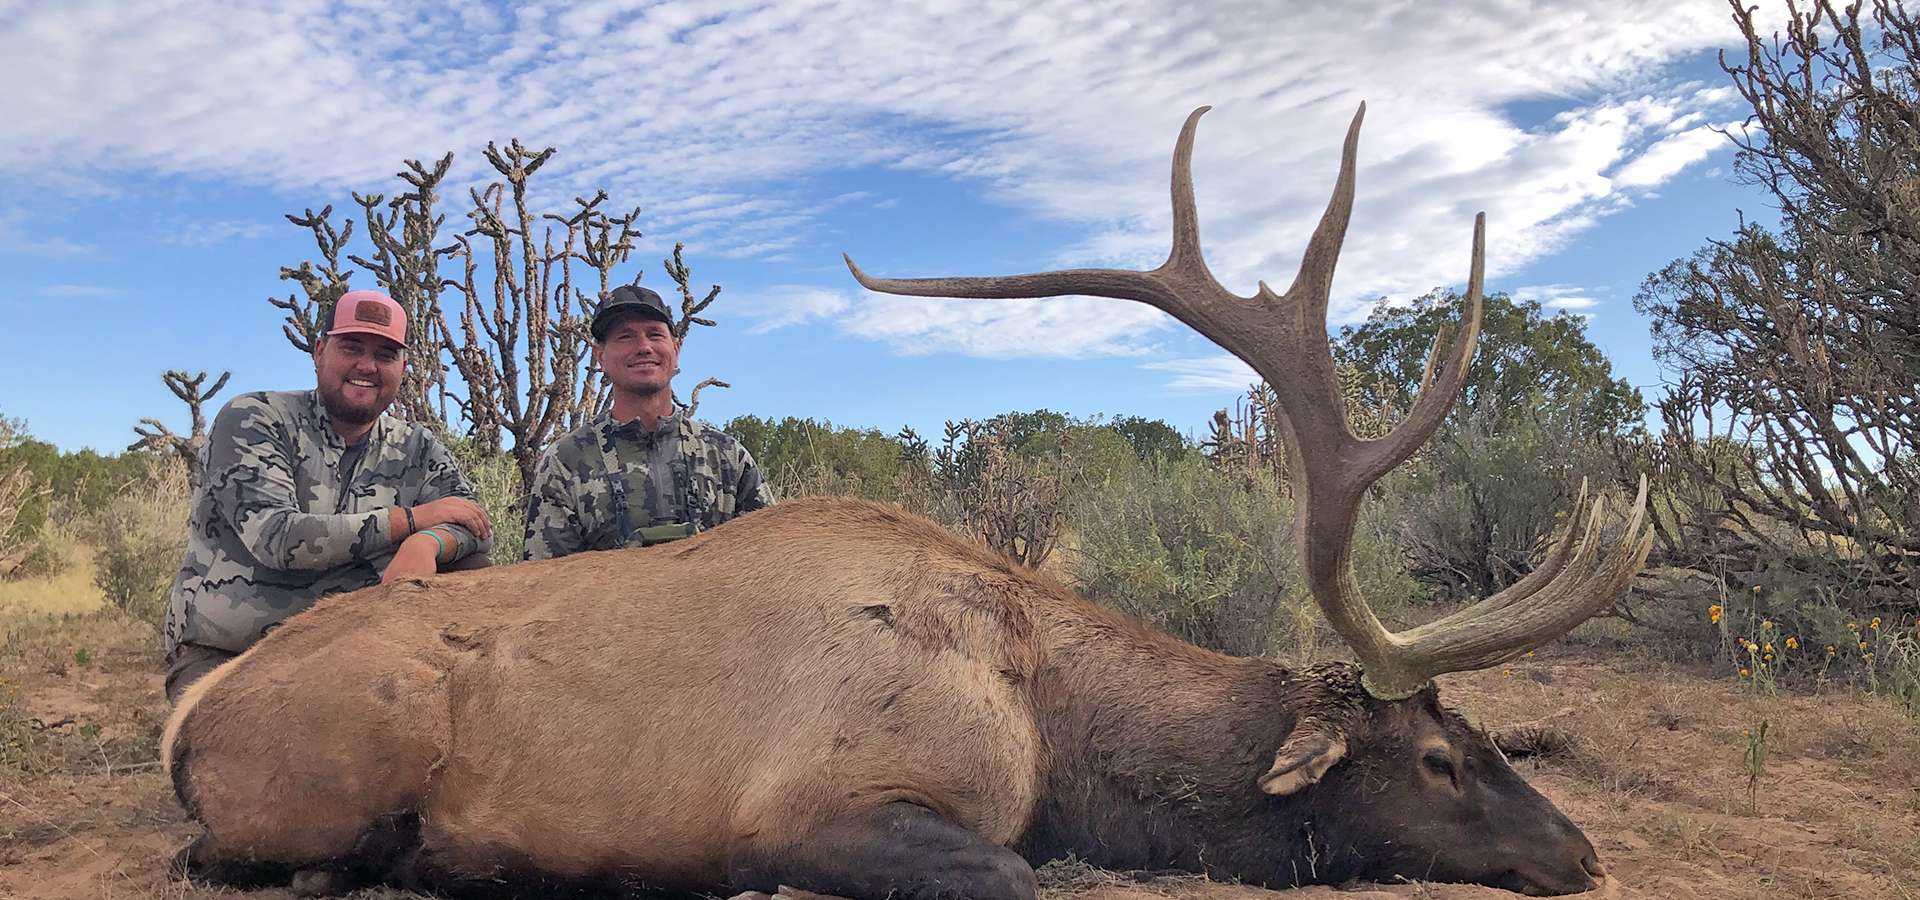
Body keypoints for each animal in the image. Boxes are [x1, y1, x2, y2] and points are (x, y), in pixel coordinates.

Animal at [161, 103, 1651, 890]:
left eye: (1491, 739)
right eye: (1442, 759)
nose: (1580, 851)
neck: (1059, 730)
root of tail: (191, 719)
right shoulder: (822, 802)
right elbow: (1010, 872)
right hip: (337, 766)